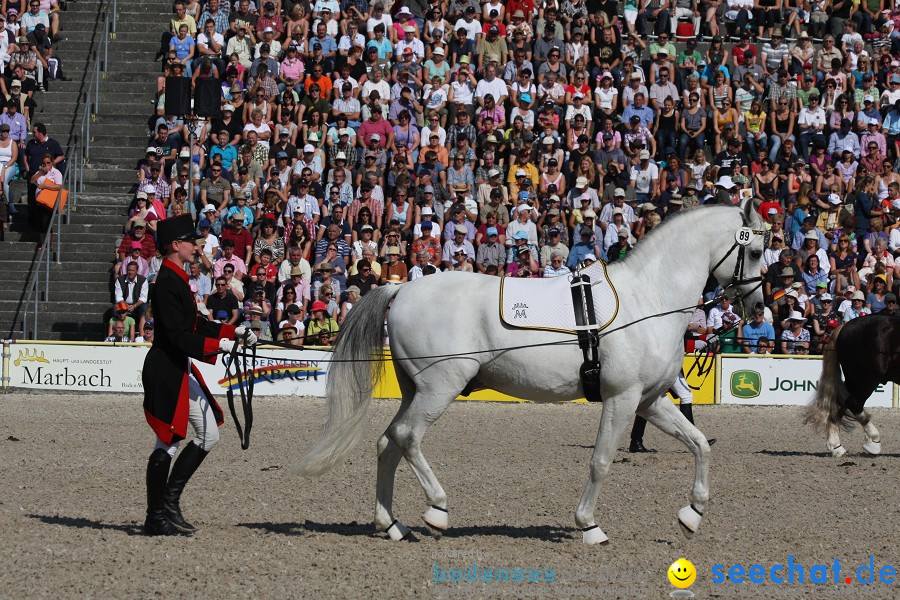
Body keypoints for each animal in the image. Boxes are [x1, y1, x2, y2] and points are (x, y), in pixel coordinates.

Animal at [298, 200, 764, 544]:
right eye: (757, 251)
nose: (758, 305)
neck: (648, 299)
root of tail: (403, 288)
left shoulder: (648, 400)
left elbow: (699, 444)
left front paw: (693, 513)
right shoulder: (622, 398)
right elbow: (601, 461)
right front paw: (590, 526)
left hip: (415, 390)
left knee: (387, 443)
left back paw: (391, 525)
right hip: (440, 388)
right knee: (407, 437)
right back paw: (437, 510)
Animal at [800, 312, 900, 458]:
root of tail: (844, 326)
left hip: (856, 380)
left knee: (841, 402)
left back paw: (836, 446)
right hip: (865, 379)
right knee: (854, 403)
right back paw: (873, 442)